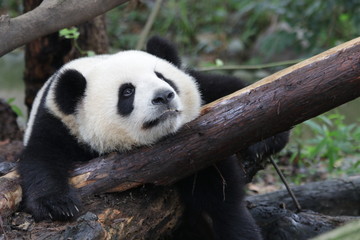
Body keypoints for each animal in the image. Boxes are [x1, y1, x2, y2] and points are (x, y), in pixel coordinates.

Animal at [19, 36, 290, 240]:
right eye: (127, 91)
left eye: (162, 77)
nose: (164, 96)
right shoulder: (58, 123)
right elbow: (40, 159)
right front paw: (58, 205)